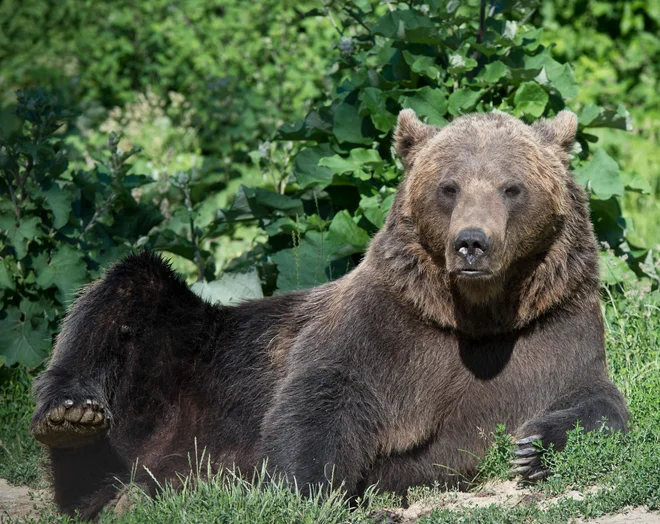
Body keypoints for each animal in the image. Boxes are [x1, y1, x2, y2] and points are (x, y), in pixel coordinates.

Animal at [31, 108, 628, 516]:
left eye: (512, 187)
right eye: (448, 187)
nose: (471, 244)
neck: (477, 316)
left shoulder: (548, 330)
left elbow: (595, 399)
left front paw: (531, 448)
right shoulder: (384, 328)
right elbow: (322, 400)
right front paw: (303, 488)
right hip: (179, 370)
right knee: (128, 290)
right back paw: (71, 416)